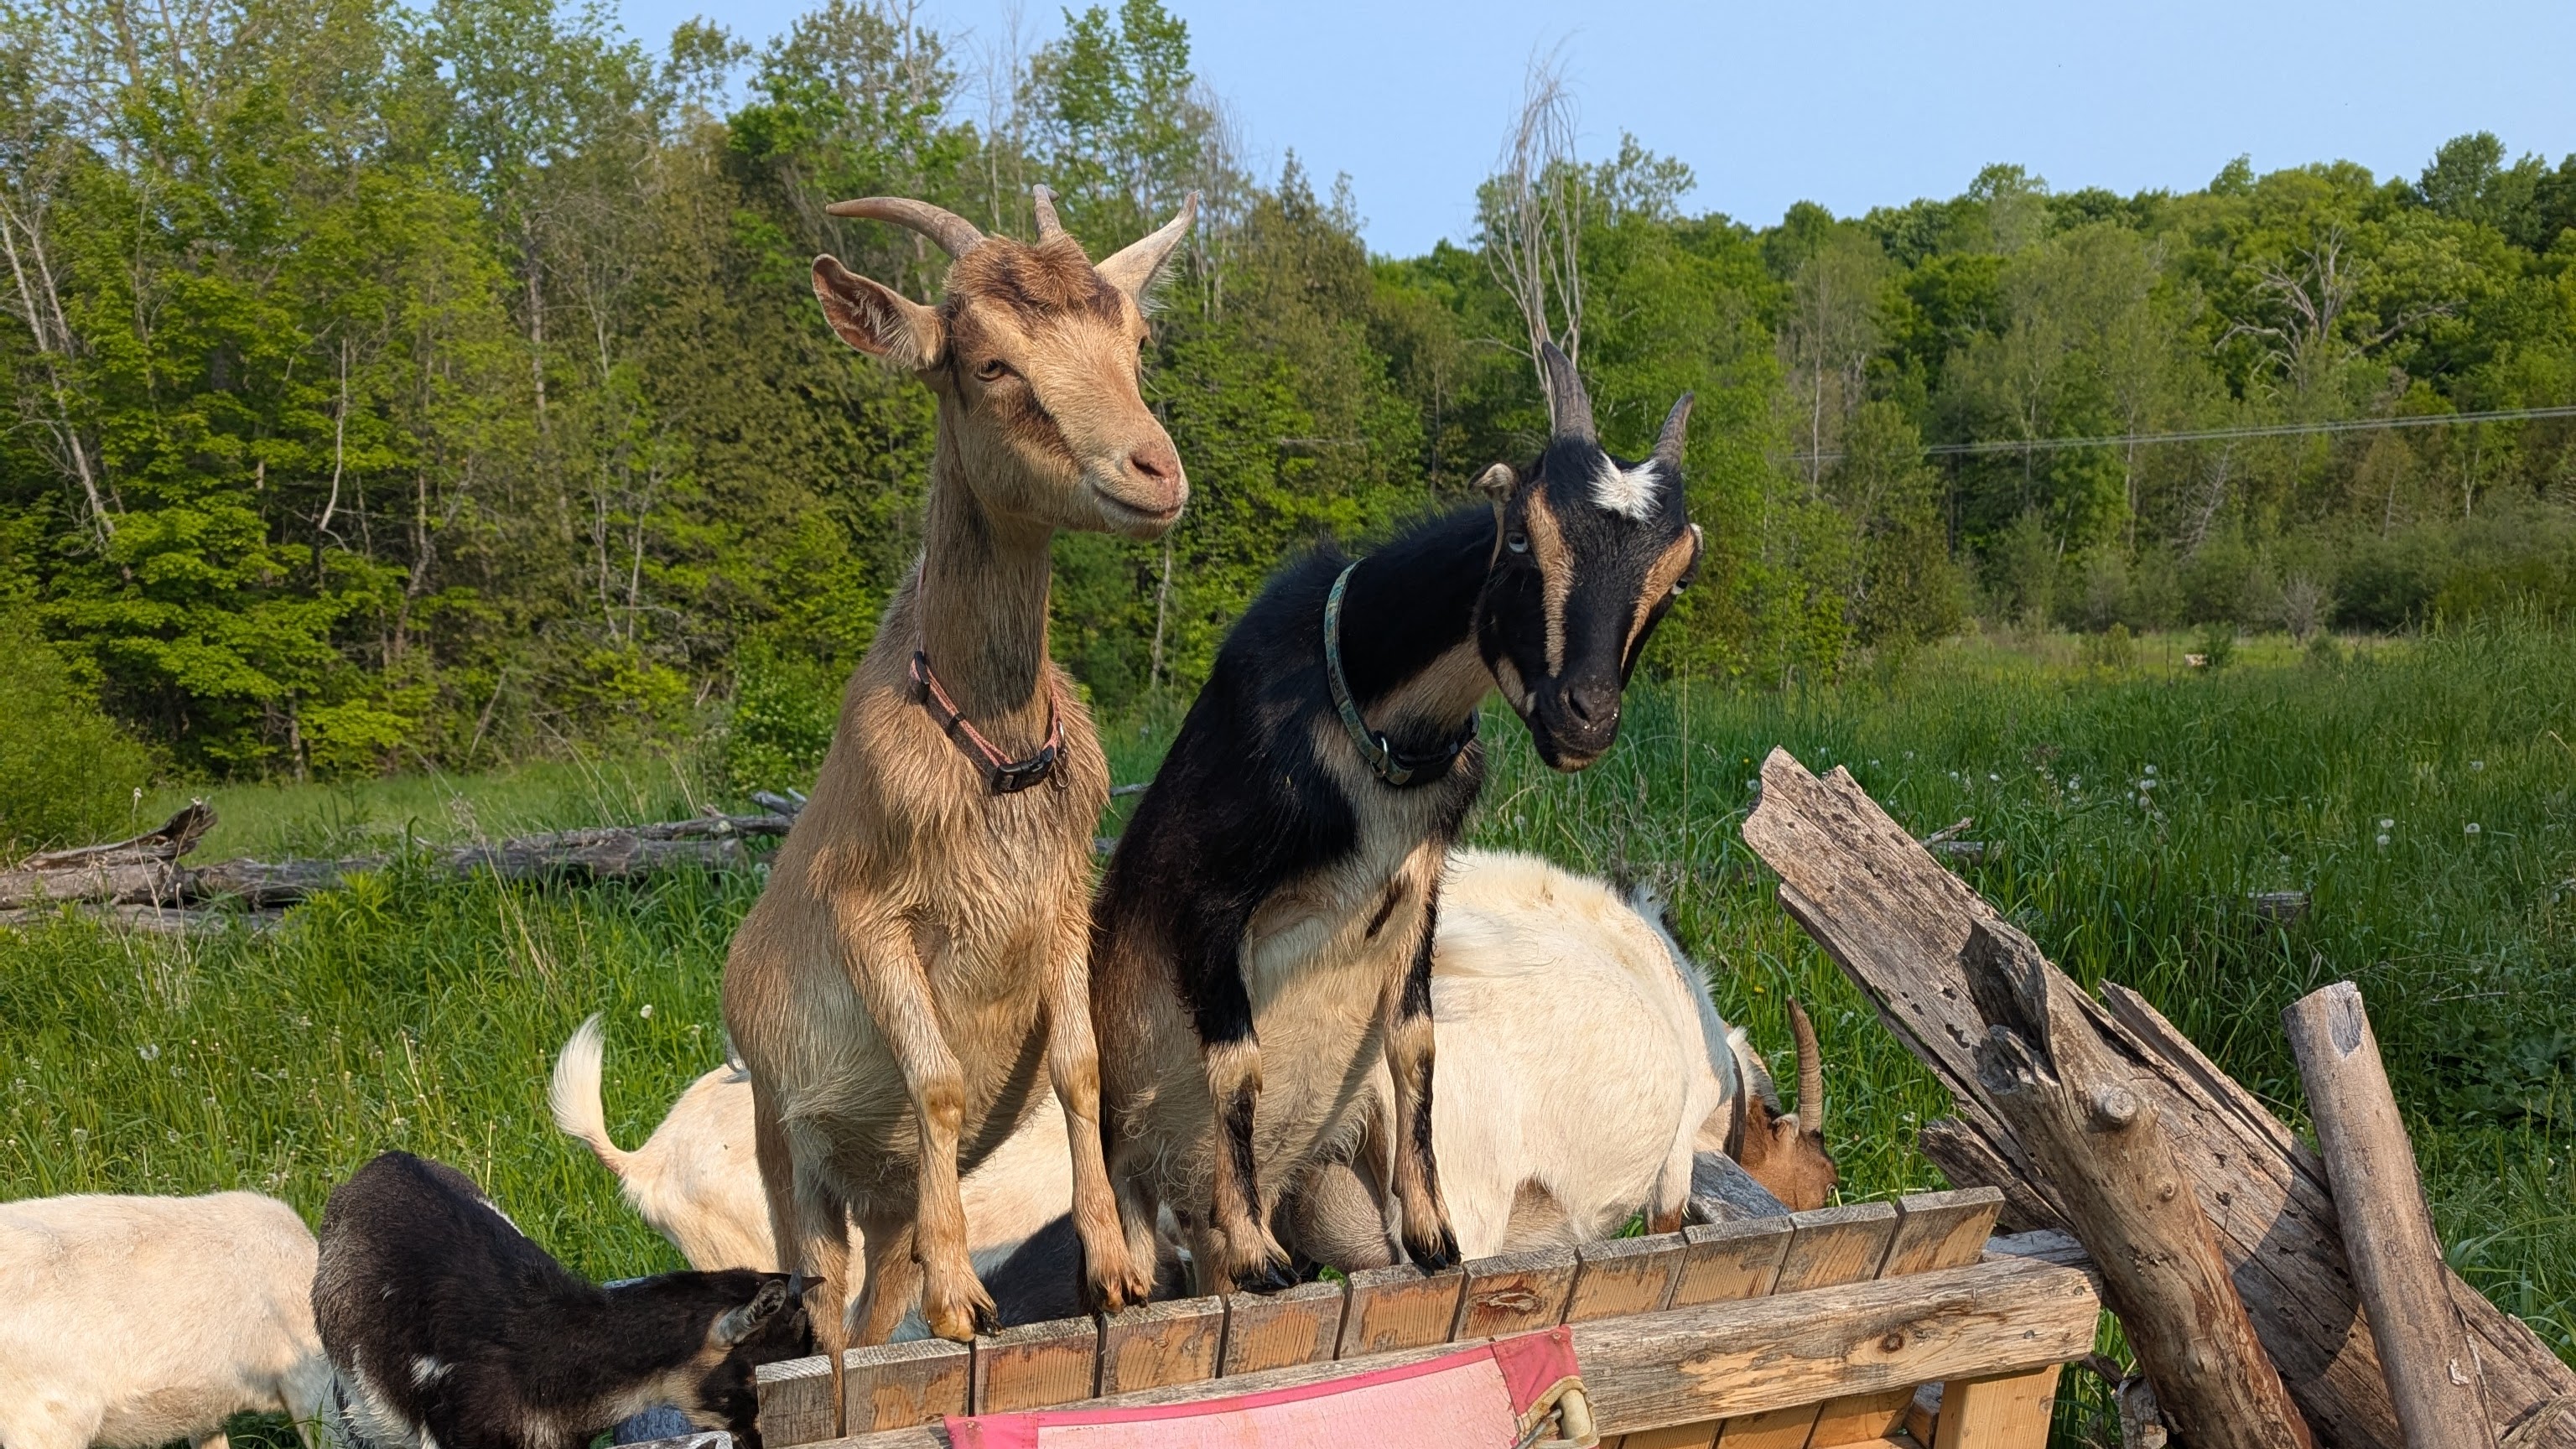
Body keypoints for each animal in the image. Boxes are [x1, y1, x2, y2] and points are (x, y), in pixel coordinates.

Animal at [722, 187, 1195, 1379]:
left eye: (1136, 340)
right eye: (988, 362)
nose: (1153, 472)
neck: (992, 754)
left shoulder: (1063, 909)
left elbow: (1081, 1064)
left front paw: (1113, 1272)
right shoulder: (871, 918)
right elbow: (934, 1081)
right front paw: (963, 1303)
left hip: (883, 1206)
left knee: (871, 1294)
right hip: (789, 1156)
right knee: (821, 1292)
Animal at [1090, 345, 1703, 1296]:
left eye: (1677, 574)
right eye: (1522, 535)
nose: (1586, 718)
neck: (1372, 725)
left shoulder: (1418, 893)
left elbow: (1416, 1045)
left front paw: (1433, 1234)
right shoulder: (1211, 894)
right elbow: (1238, 1059)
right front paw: (1264, 1255)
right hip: (1126, 1164)